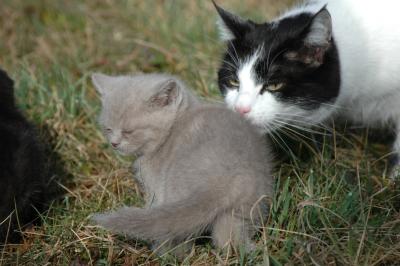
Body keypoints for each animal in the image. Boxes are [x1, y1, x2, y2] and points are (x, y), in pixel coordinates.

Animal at [90, 72, 274, 254]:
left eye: (128, 132)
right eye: (108, 129)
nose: (114, 143)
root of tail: (223, 179)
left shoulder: (155, 188)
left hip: (174, 192)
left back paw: (163, 254)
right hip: (248, 204)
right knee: (228, 239)